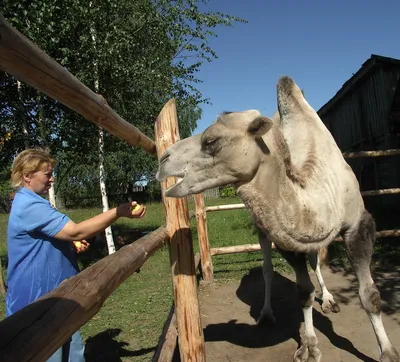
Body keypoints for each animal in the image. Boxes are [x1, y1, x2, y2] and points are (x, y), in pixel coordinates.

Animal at [156, 75, 400, 360]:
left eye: (211, 141)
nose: (163, 159)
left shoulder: (359, 226)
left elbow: (369, 295)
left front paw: (388, 351)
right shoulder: (285, 239)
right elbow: (303, 293)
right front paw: (310, 346)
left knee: (316, 263)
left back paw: (329, 299)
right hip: (262, 229)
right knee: (268, 270)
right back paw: (266, 314)